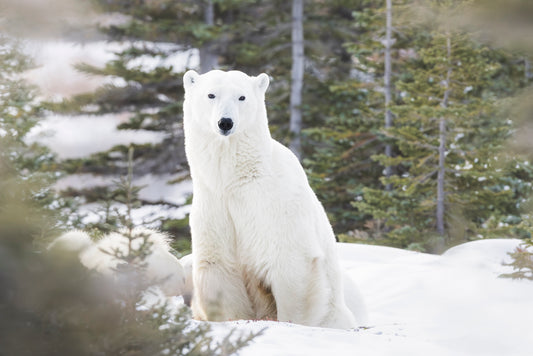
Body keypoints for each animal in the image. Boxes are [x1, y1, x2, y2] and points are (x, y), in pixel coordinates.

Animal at [182, 69, 362, 328]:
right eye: (211, 94)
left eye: (242, 97)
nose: (225, 122)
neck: (235, 181)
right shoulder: (214, 206)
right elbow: (220, 267)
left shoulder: (275, 203)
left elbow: (292, 263)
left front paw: (291, 321)